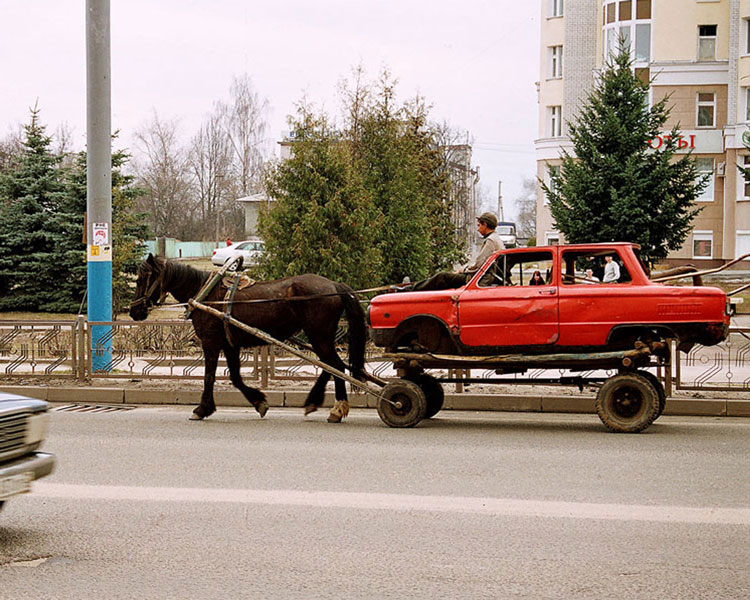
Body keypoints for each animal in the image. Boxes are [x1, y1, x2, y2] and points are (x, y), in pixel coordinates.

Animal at [130, 253, 370, 422]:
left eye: (141, 278)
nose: (133, 311)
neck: (207, 294)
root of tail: (334, 285)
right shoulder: (230, 345)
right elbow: (236, 377)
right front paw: (258, 401)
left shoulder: (210, 343)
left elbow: (209, 376)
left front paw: (201, 409)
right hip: (320, 338)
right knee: (333, 366)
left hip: (319, 337)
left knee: (335, 366)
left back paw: (334, 408)